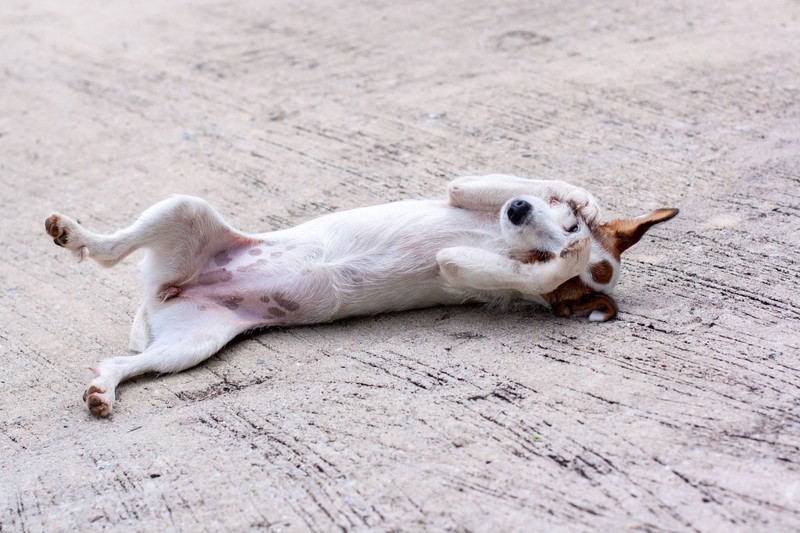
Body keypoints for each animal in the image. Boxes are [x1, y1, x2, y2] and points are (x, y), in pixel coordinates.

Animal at [43, 175, 680, 416]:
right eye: (563, 226)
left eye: (546, 251)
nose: (518, 212)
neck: (497, 236)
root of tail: (167, 290)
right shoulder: (468, 189)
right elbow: (519, 178)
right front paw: (578, 196)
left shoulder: (466, 270)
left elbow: (519, 278)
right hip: (184, 210)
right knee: (111, 250)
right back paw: (76, 235)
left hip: (189, 345)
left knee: (122, 362)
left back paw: (103, 390)